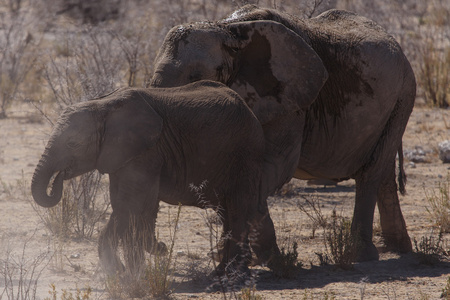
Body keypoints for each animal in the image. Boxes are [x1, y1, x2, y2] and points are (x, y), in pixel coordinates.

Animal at [30, 81, 278, 276]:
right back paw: (220, 272)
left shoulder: (147, 151)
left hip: (246, 155)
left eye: (73, 144)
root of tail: (249, 110)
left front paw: (132, 272)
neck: (102, 105)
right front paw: (125, 272)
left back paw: (230, 275)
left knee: (237, 209)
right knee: (226, 210)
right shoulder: (123, 155)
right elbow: (124, 205)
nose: (59, 176)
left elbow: (130, 204)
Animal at [150, 5, 414, 262]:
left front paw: (271, 259)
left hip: (403, 96)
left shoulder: (289, 103)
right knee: (384, 173)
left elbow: (273, 167)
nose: (161, 248)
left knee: (371, 172)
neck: (228, 30)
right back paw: (399, 248)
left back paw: (362, 255)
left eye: (194, 77)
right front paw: (227, 257)